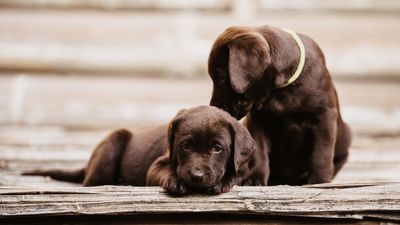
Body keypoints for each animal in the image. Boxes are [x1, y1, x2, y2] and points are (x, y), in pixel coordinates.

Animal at [23, 105, 264, 193]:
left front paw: (224, 181)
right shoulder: (157, 165)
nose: (196, 176)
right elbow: (165, 170)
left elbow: (238, 173)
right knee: (91, 183)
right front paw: (175, 181)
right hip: (113, 142)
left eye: (217, 148)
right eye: (185, 146)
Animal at [208, 25, 352, 185]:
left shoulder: (324, 117)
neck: (281, 89)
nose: (214, 106)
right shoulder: (258, 121)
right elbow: (260, 154)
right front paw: (254, 179)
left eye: (221, 77)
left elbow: (321, 153)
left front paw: (320, 180)